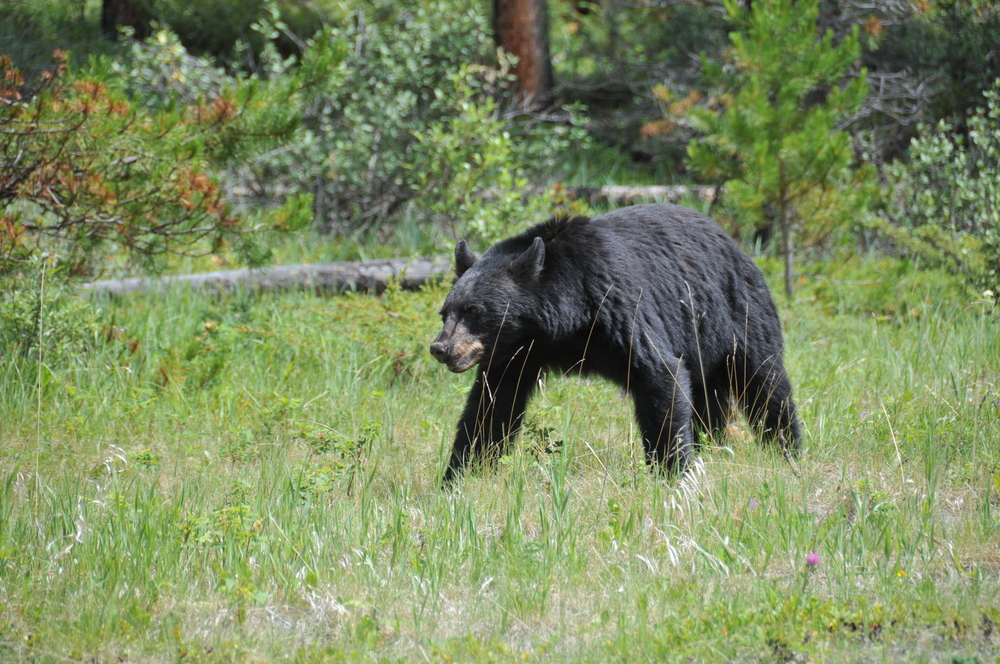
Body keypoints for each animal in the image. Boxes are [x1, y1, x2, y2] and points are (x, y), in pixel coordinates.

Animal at [426, 201, 800, 482]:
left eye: (474, 310)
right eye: (445, 312)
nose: (440, 348)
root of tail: (733, 241)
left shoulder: (619, 307)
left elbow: (661, 376)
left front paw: (672, 472)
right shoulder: (517, 353)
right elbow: (491, 407)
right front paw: (459, 477)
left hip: (737, 312)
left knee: (765, 381)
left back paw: (788, 450)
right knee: (711, 396)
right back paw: (712, 443)